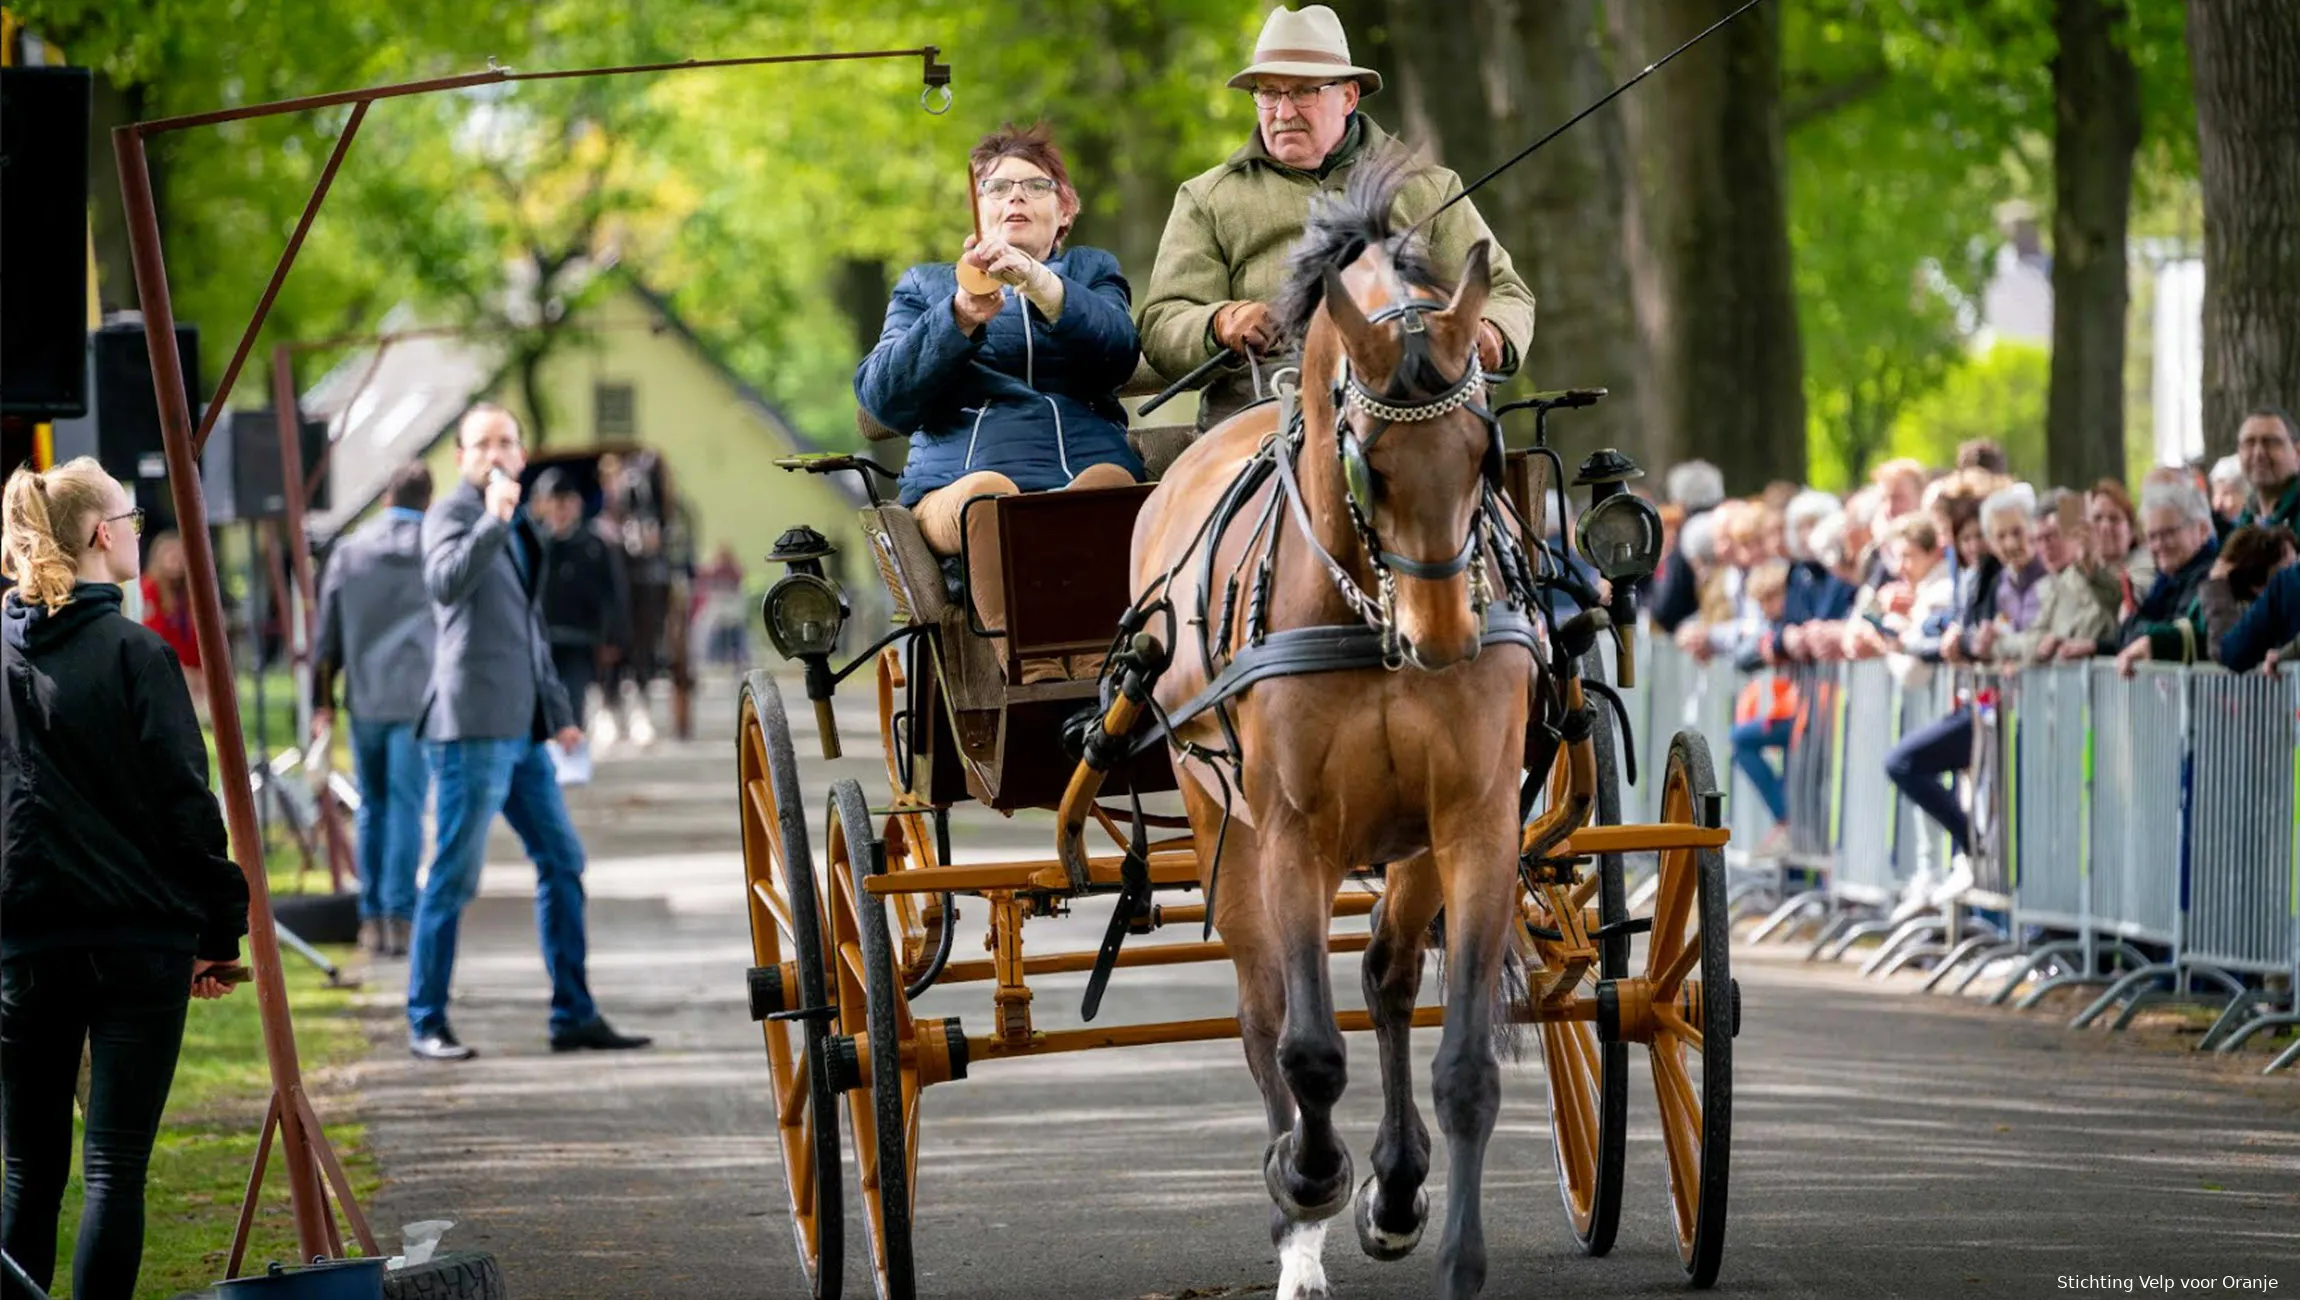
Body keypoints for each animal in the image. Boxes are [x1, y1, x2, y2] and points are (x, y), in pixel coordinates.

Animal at [1131, 157, 1545, 1297]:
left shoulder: (1475, 821)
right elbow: (1307, 1047)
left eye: (1482, 446)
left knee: (1389, 978)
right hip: (1217, 817)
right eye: (1365, 457)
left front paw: (1442, 1244)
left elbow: (1463, 1065)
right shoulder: (1293, 828)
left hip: (1408, 843)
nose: (1443, 636)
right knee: (1263, 1002)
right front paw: (1307, 1178)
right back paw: (1298, 1223)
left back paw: (1394, 1187)